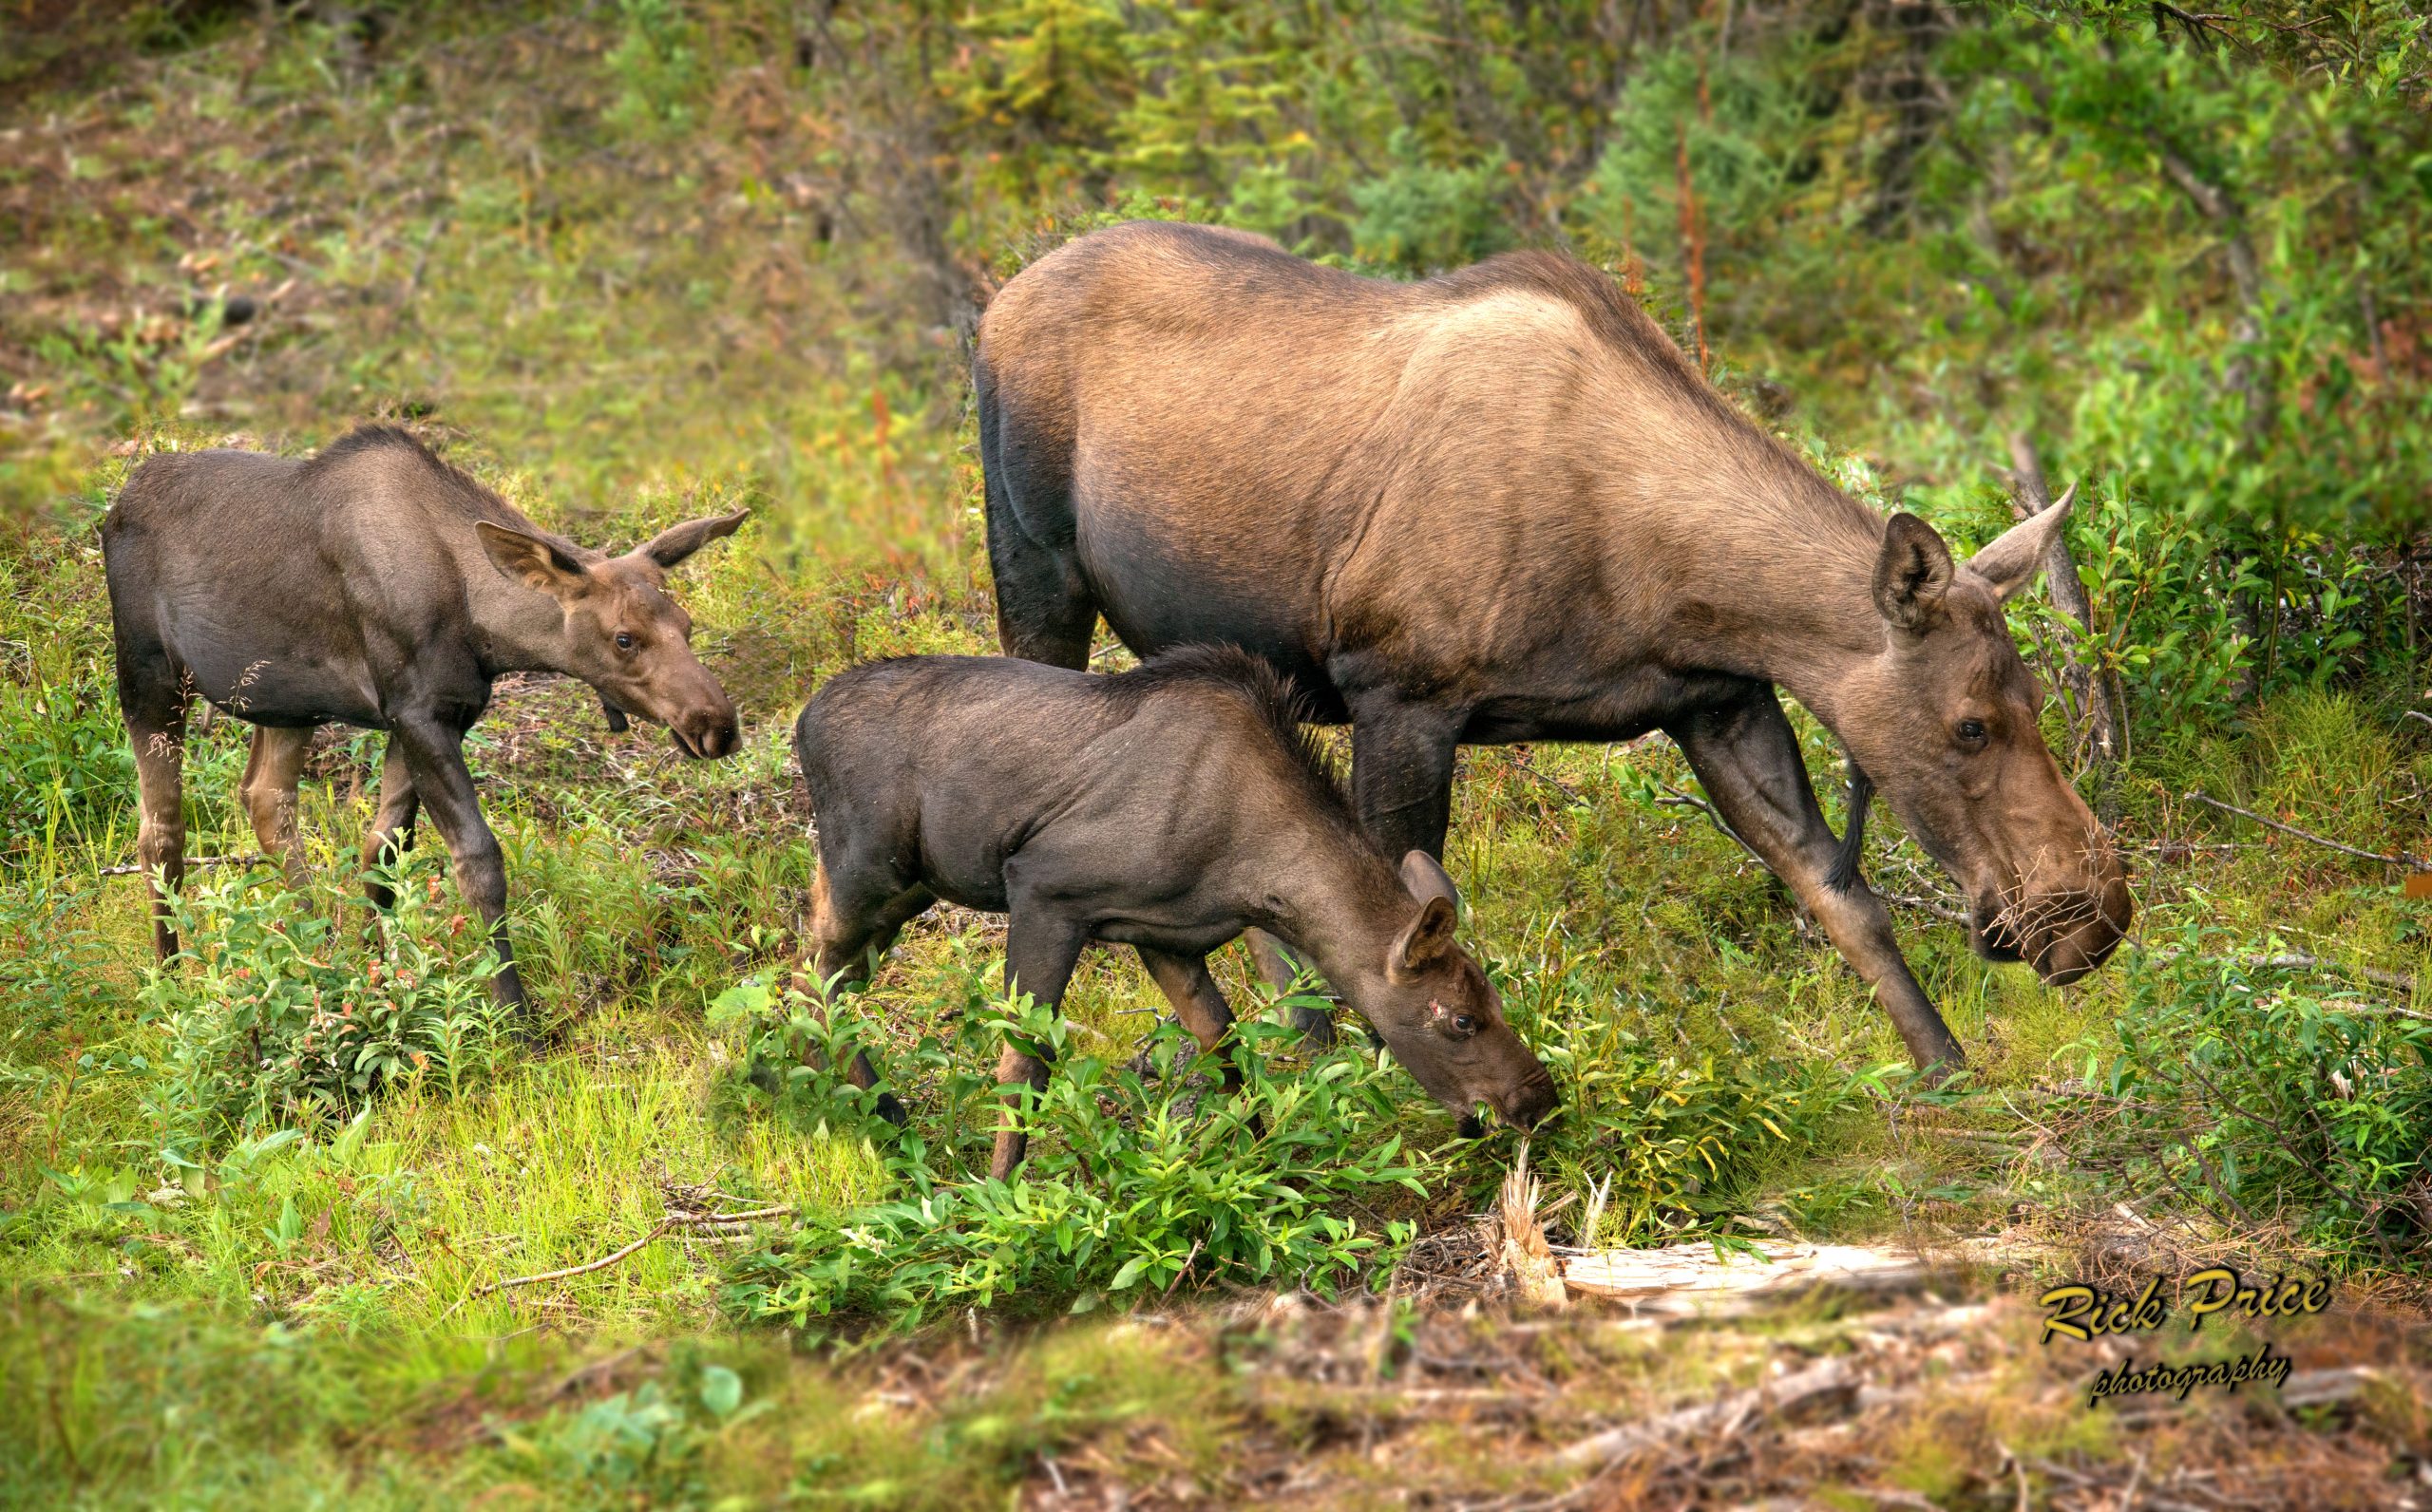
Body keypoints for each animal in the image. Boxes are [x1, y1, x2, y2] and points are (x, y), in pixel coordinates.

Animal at [106, 427, 749, 1020]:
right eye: (624, 638)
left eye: (687, 625)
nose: (717, 725)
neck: (486, 632)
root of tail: (116, 506)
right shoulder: (418, 714)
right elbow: (477, 860)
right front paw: (514, 1016)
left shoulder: (432, 718)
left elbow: (383, 852)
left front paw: (376, 973)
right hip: (149, 680)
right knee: (161, 831)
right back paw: (170, 980)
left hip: (284, 703)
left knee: (266, 798)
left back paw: (315, 950)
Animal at [792, 646, 1556, 1181]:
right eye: (1461, 1018)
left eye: (1495, 998)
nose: (1539, 1102)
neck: (1252, 874)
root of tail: (801, 724)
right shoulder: (1043, 890)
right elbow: (1025, 1061)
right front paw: (1000, 1196)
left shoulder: (1166, 935)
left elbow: (1224, 1039)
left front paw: (1264, 1158)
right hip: (874, 871)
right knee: (809, 977)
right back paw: (885, 1120)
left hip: (902, 888)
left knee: (820, 967)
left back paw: (875, 1114)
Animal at [967, 224, 2130, 1079]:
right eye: (1970, 724)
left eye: (2036, 696)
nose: (2098, 916)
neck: (1658, 573)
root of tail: (992, 306)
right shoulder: (1402, 696)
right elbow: (1395, 928)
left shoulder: (1715, 697)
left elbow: (1842, 898)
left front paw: (1946, 1071)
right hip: (1036, 577)